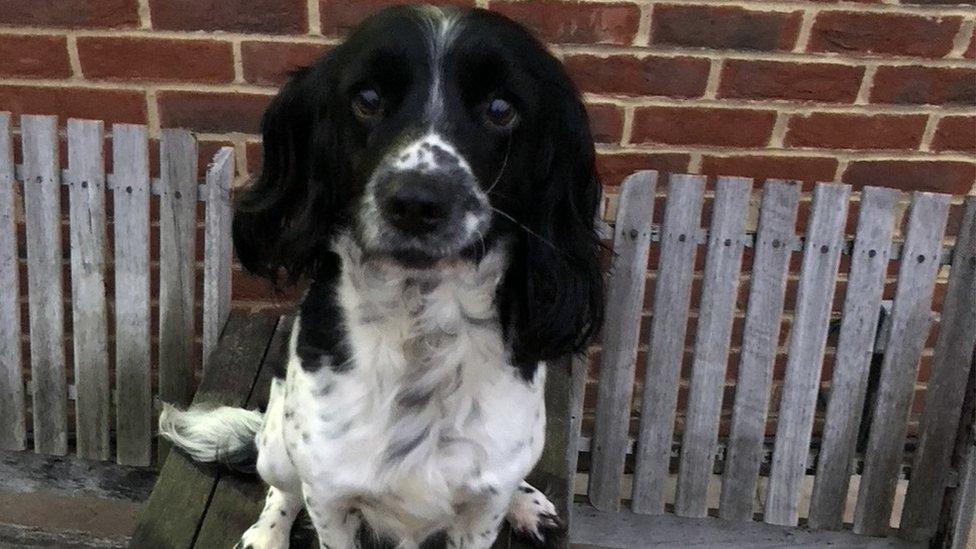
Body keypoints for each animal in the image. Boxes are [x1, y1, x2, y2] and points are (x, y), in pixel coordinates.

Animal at [160, 5, 604, 548]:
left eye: (501, 108)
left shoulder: (482, 509)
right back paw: (268, 532)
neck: (419, 330)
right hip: (278, 447)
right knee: (282, 489)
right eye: (367, 99)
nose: (416, 201)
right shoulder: (329, 498)